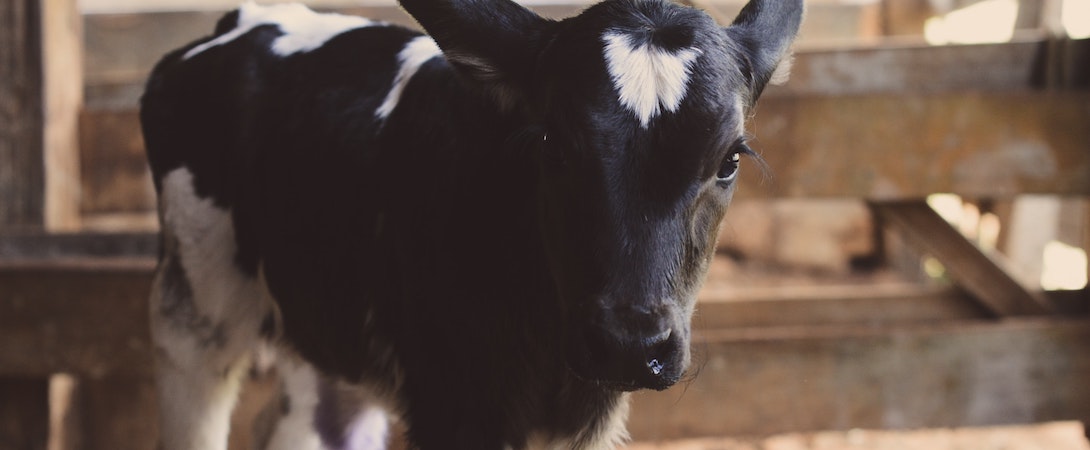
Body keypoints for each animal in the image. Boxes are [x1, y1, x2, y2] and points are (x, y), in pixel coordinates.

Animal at [140, 0, 802, 448]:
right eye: (553, 146)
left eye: (729, 160)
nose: (629, 344)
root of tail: (247, 19)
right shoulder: (451, 406)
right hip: (192, 312)